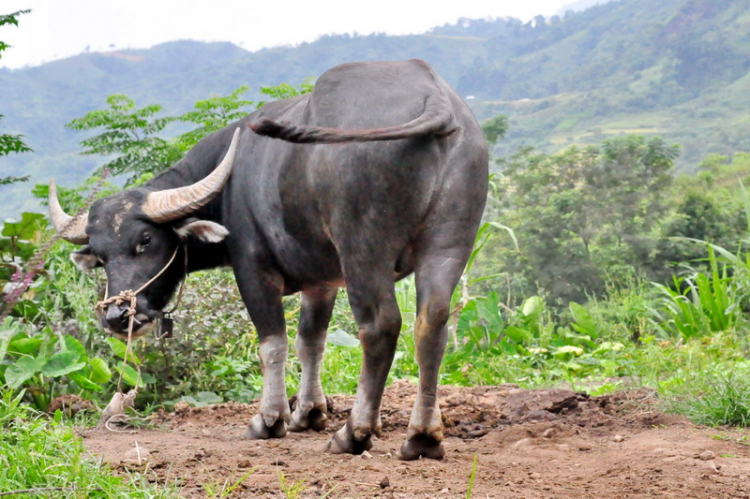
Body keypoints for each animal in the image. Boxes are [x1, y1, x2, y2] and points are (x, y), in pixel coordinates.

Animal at [50, 59, 490, 460]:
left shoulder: (253, 270)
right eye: (101, 256)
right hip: (449, 246)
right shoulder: (322, 281)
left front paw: (270, 419)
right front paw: (309, 413)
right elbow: (311, 342)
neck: (228, 189)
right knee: (432, 324)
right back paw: (423, 436)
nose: (116, 317)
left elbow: (273, 344)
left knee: (380, 328)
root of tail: (433, 94)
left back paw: (354, 433)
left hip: (363, 250)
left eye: (145, 240)